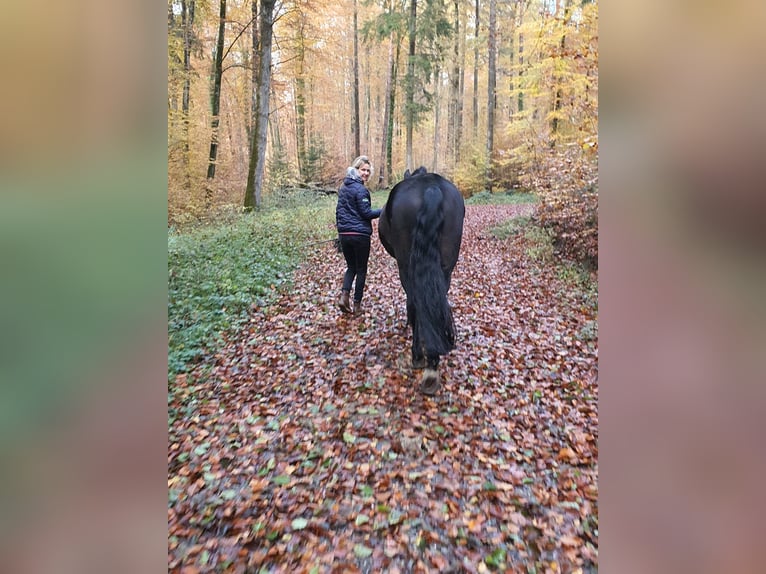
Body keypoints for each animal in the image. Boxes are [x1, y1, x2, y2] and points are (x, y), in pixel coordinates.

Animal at [380, 164, 464, 394]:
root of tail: (431, 188)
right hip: (446, 268)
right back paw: (432, 362)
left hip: (406, 267)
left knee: (417, 302)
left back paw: (420, 358)